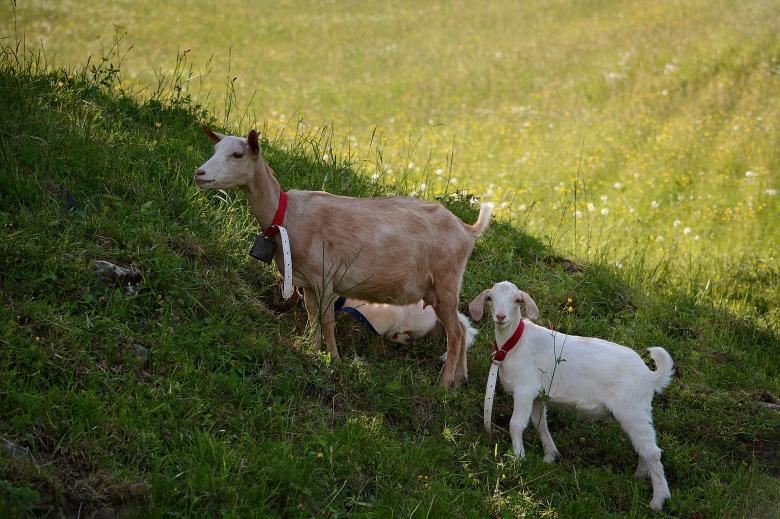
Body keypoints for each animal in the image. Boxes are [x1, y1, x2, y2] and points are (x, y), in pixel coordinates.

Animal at [195, 128, 492, 387]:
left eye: (237, 154)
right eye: (215, 149)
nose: (200, 173)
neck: (286, 216)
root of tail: (467, 229)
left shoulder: (326, 276)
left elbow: (327, 320)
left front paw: (334, 361)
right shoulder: (306, 280)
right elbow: (311, 315)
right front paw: (311, 348)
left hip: (446, 282)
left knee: (456, 333)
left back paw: (442, 385)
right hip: (439, 290)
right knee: (461, 329)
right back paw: (459, 379)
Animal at [470, 281, 674, 510]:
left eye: (517, 300)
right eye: (491, 298)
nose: (501, 316)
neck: (514, 343)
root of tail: (650, 376)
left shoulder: (525, 389)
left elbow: (516, 424)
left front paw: (518, 458)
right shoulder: (538, 395)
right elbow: (539, 422)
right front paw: (550, 456)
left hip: (633, 409)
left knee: (653, 451)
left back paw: (658, 500)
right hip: (634, 413)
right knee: (644, 446)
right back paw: (639, 477)